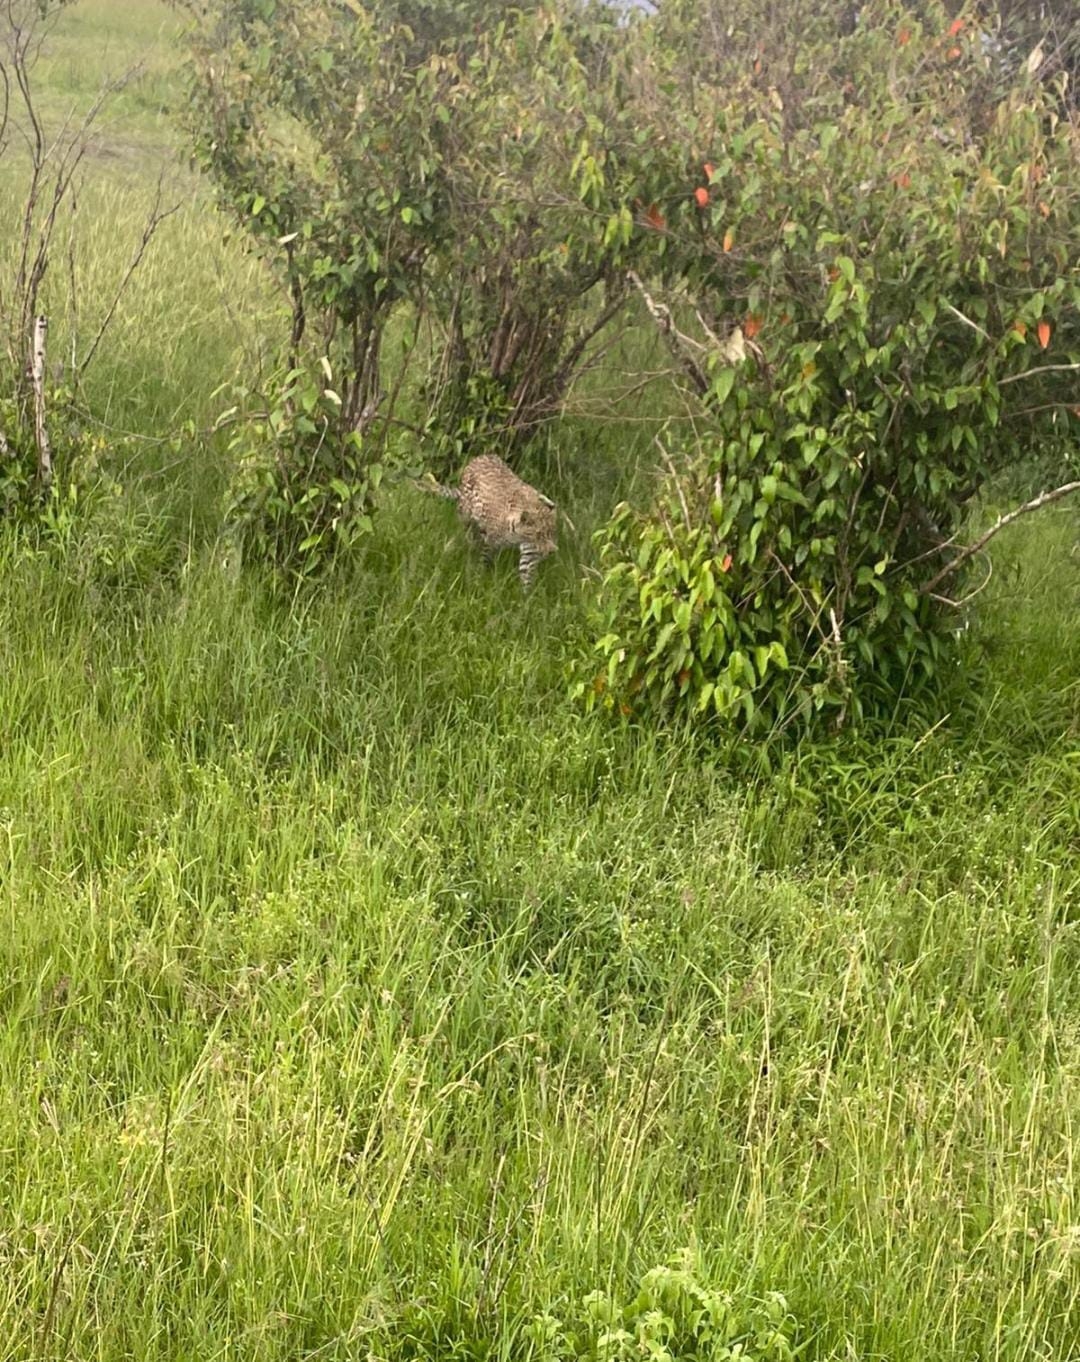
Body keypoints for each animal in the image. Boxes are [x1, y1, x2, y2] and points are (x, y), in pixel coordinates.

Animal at [419, 453, 558, 589]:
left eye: (551, 533)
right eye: (539, 535)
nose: (552, 551)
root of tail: (479, 457)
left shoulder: (530, 551)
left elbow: (527, 573)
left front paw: (527, 594)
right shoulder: (490, 541)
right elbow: (484, 558)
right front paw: (479, 578)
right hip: (465, 515)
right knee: (468, 535)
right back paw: (470, 546)